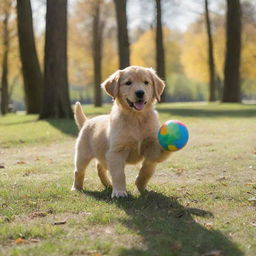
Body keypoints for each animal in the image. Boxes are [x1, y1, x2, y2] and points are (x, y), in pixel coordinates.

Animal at [72, 66, 171, 198]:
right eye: (128, 83)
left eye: (146, 82)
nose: (140, 93)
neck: (136, 118)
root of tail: (87, 121)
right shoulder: (116, 152)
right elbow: (119, 174)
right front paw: (119, 192)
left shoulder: (151, 146)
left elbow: (147, 169)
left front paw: (140, 185)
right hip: (83, 155)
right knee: (79, 171)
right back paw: (76, 188)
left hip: (103, 154)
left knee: (100, 166)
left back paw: (108, 184)